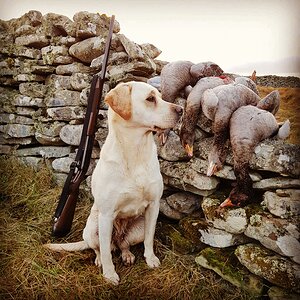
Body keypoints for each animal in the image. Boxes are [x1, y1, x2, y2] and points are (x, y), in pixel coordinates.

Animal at [43, 81, 182, 284]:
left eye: (161, 97)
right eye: (150, 98)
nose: (181, 110)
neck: (135, 151)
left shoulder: (154, 206)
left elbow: (149, 238)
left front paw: (151, 259)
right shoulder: (107, 215)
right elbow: (106, 252)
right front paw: (109, 274)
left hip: (137, 229)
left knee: (123, 244)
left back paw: (127, 254)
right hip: (92, 228)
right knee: (100, 248)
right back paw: (100, 260)